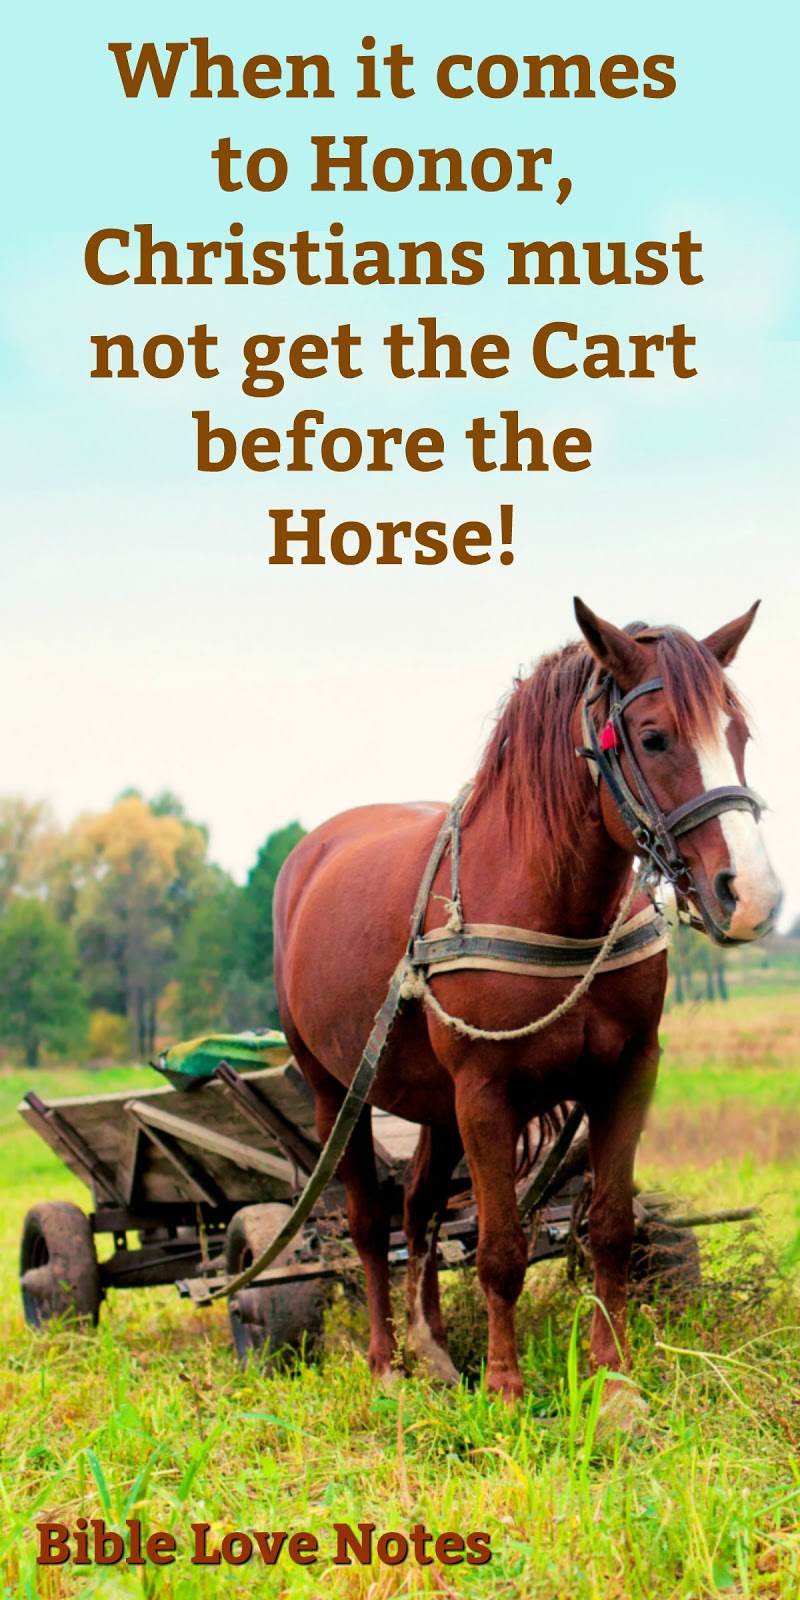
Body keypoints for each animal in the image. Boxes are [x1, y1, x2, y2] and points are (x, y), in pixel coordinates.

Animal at [272, 599, 781, 1415]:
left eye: (738, 735)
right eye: (653, 737)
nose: (754, 896)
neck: (555, 905)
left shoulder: (626, 1073)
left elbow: (609, 1227)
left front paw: (615, 1381)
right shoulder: (486, 1091)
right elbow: (501, 1248)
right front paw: (507, 1387)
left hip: (435, 1105)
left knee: (418, 1211)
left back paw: (434, 1351)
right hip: (336, 1094)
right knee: (370, 1222)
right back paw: (389, 1365)